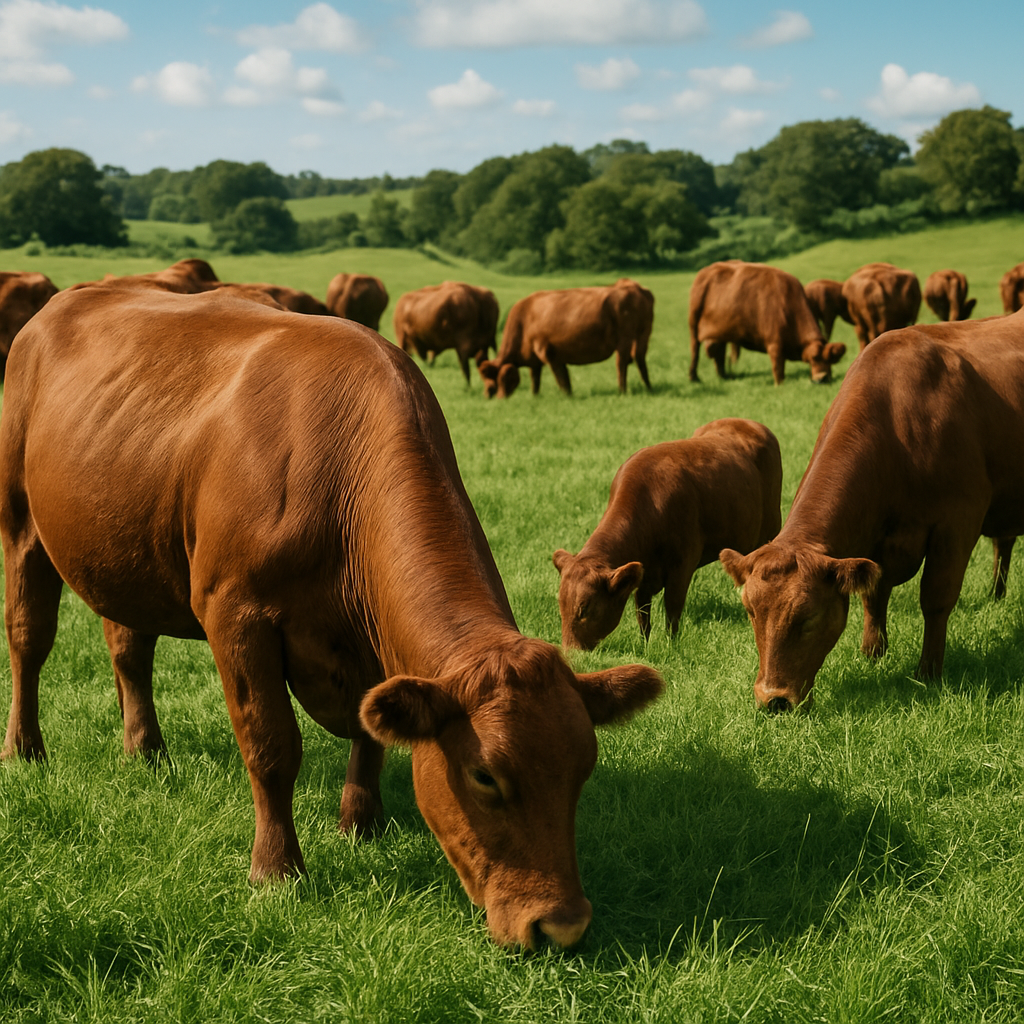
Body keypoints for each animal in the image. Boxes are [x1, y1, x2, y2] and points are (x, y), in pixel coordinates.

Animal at [478, 278, 654, 398]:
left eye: (498, 380)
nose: (493, 397)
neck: (523, 320)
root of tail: (632, 285)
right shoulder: (536, 360)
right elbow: (536, 379)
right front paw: (535, 396)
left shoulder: (548, 352)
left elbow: (561, 379)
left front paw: (567, 397)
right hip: (643, 335)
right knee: (640, 360)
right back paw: (648, 387)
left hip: (624, 339)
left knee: (621, 364)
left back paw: (622, 391)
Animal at [554, 419, 782, 649]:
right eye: (561, 605)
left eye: (585, 609)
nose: (570, 652)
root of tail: (744, 421)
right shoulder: (643, 577)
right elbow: (642, 614)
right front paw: (644, 645)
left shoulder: (681, 569)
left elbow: (672, 611)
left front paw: (671, 647)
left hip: (770, 531)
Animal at [688, 261, 846, 385]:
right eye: (813, 358)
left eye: (831, 359)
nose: (822, 379)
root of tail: (708, 269)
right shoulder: (774, 344)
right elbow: (778, 368)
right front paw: (779, 385)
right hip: (693, 323)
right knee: (695, 350)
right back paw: (694, 377)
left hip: (721, 332)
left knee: (718, 353)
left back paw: (724, 376)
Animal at [719, 309, 1024, 713]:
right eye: (750, 611)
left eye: (808, 616)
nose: (774, 700)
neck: (900, 425)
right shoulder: (872, 543)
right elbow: (873, 593)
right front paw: (872, 653)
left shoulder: (958, 523)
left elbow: (936, 597)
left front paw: (929, 671)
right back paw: (996, 594)